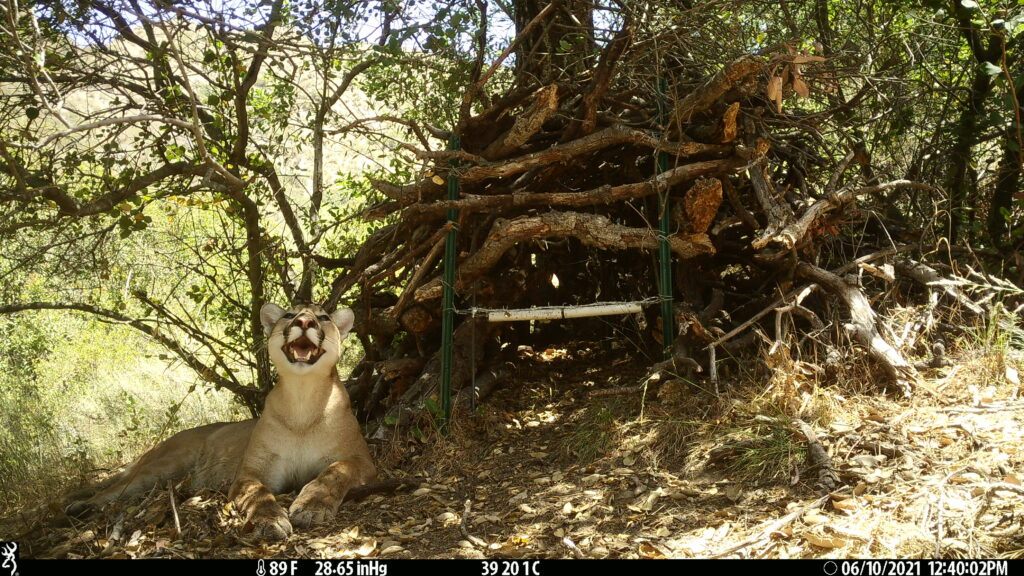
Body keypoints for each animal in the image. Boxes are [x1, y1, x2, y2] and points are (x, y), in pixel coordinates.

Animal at [69, 301, 380, 537]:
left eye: (323, 317)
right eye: (290, 315)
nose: (304, 321)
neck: (302, 398)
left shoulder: (360, 459)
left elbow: (334, 473)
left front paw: (312, 507)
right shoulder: (251, 470)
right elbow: (258, 494)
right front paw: (270, 521)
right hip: (162, 467)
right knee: (111, 491)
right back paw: (76, 508)